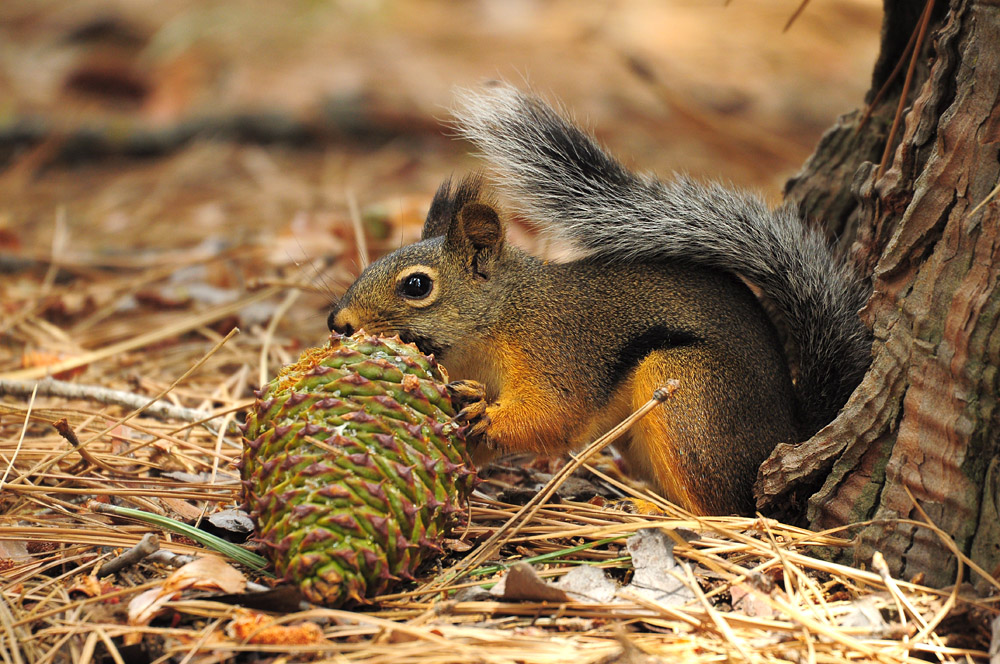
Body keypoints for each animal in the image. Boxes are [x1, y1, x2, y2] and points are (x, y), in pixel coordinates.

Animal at [328, 83, 872, 515]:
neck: (502, 315)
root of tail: (791, 431)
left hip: (691, 397)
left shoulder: (555, 348)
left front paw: (485, 410)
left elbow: (553, 412)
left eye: (417, 286)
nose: (338, 323)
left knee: (720, 511)